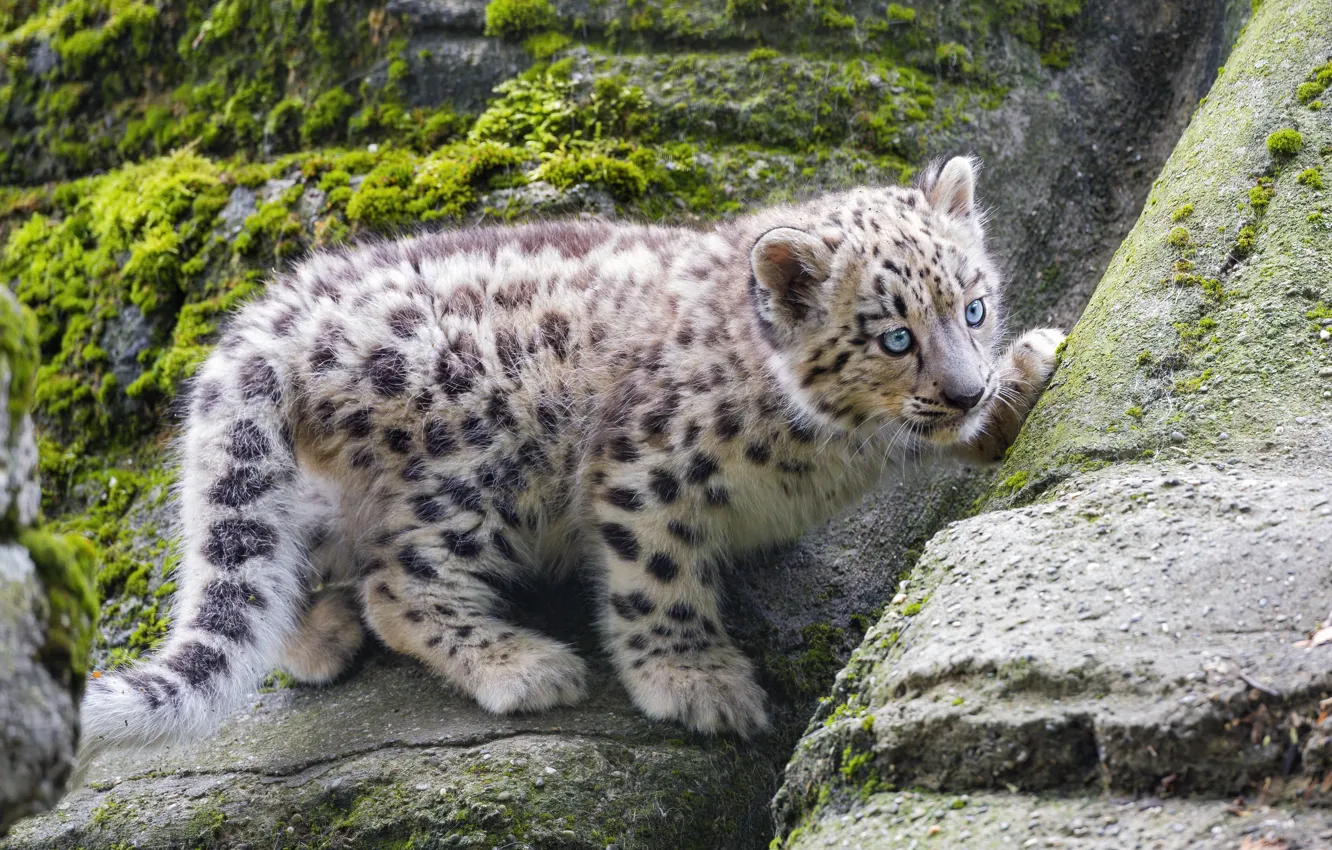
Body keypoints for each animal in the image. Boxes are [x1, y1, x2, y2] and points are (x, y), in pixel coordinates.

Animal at [80, 155, 1064, 751]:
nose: (965, 387)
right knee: (400, 579)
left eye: (974, 306)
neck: (838, 452)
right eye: (895, 337)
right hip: (480, 463)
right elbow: (657, 579)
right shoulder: (645, 465)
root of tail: (283, 306)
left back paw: (318, 632)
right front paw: (696, 681)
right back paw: (518, 664)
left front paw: (1030, 369)